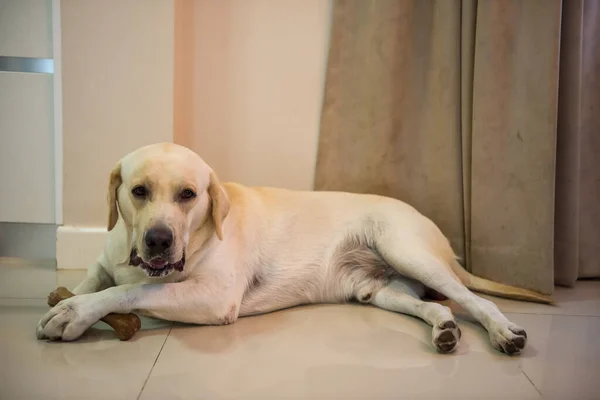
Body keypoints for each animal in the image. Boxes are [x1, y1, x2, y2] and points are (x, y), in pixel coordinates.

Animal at [37, 142, 552, 354]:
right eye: (138, 191)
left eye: (189, 195)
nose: (158, 241)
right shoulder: (106, 263)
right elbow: (93, 279)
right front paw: (67, 302)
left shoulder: (214, 297)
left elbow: (130, 291)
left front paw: (75, 313)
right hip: (382, 290)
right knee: (436, 307)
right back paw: (444, 330)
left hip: (407, 250)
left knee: (475, 300)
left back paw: (504, 332)